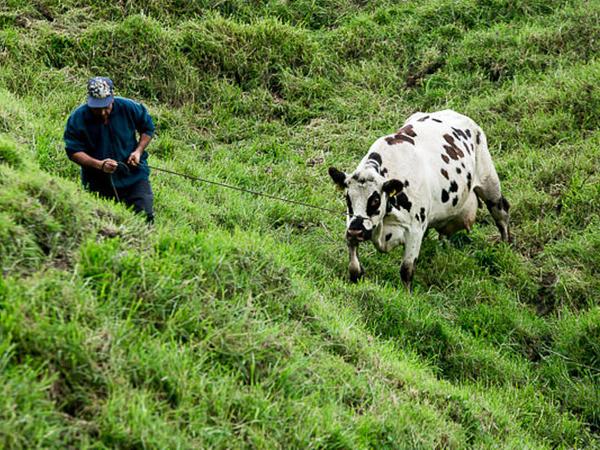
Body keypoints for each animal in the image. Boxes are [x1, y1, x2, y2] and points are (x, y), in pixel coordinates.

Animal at [328, 110, 510, 290]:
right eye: (347, 198)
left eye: (375, 200)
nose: (356, 231)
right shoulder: (351, 222)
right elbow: (353, 265)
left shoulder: (414, 230)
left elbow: (406, 270)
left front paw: (407, 294)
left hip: (490, 184)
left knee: (501, 214)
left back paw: (505, 246)